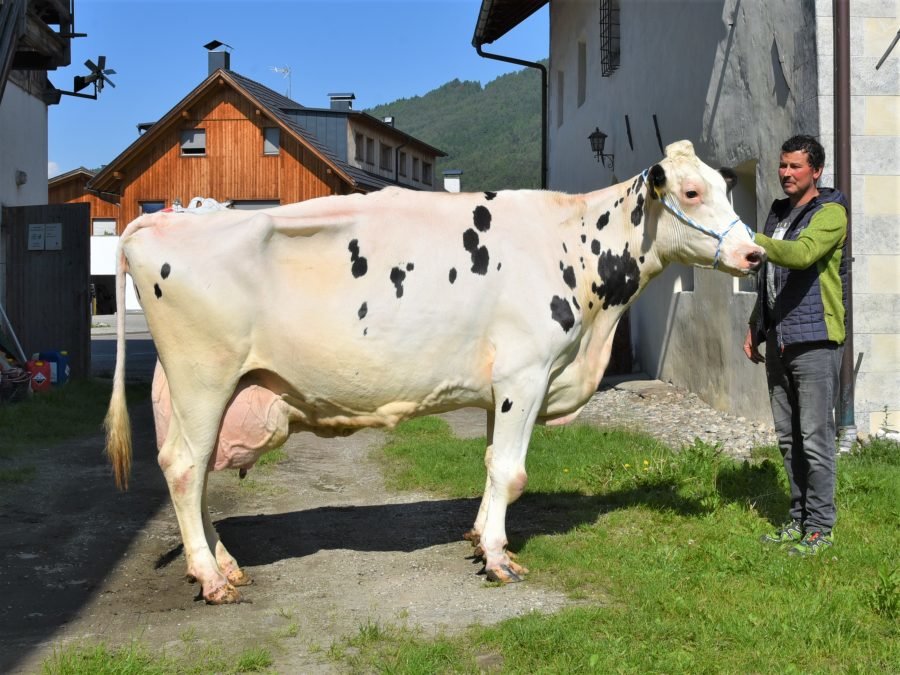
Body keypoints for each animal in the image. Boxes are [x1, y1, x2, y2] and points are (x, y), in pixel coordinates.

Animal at [105, 140, 768, 604]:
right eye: (690, 193)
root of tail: (162, 218)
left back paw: (223, 563)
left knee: (195, 471)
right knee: (185, 467)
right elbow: (511, 472)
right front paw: (499, 559)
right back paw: (210, 577)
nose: (755, 253)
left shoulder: (500, 388)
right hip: (203, 377)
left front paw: (480, 538)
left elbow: (491, 466)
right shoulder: (526, 374)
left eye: (724, 188)